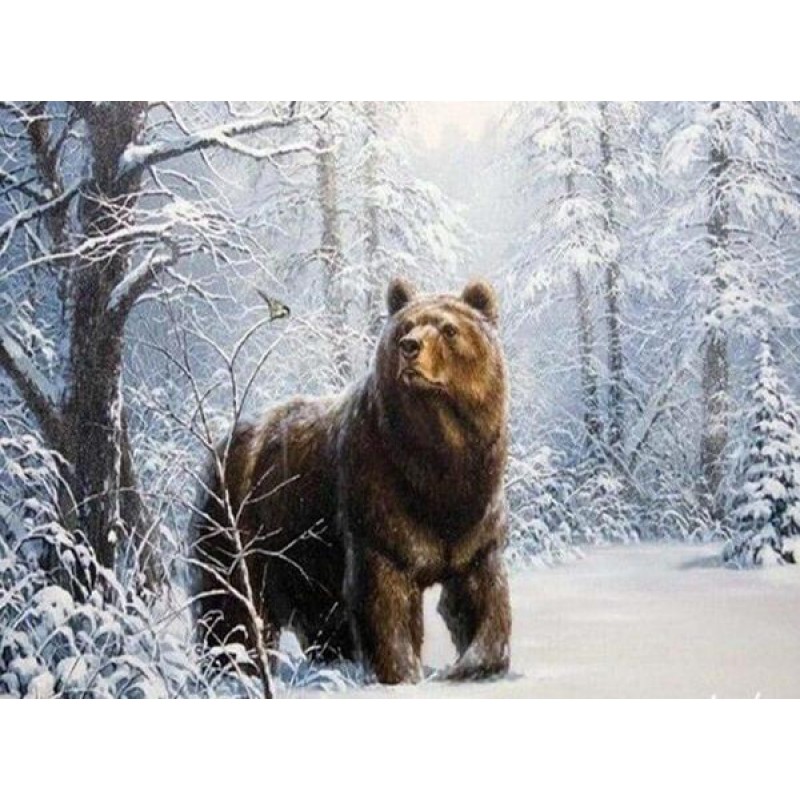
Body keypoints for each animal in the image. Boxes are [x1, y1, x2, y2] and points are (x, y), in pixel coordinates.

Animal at [192, 277, 511, 684]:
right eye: (405, 327)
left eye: (449, 329)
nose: (410, 347)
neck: (437, 460)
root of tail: (224, 444)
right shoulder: (378, 505)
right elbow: (385, 601)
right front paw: (403, 672)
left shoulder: (475, 514)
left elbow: (482, 594)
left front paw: (470, 664)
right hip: (240, 527)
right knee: (231, 605)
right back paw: (234, 669)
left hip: (304, 553)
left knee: (322, 617)